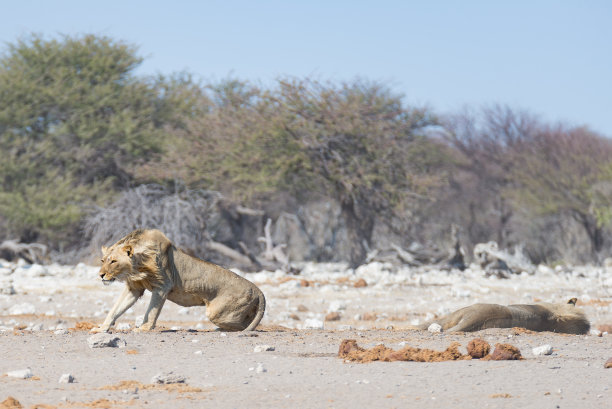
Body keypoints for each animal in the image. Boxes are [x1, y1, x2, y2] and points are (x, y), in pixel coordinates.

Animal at [91, 228, 266, 334]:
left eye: (113, 261)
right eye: (103, 260)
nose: (101, 275)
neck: (137, 268)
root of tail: (258, 290)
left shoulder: (163, 285)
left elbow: (152, 310)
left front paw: (144, 327)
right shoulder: (133, 289)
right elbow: (115, 309)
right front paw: (102, 328)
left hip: (217, 313)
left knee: (247, 327)